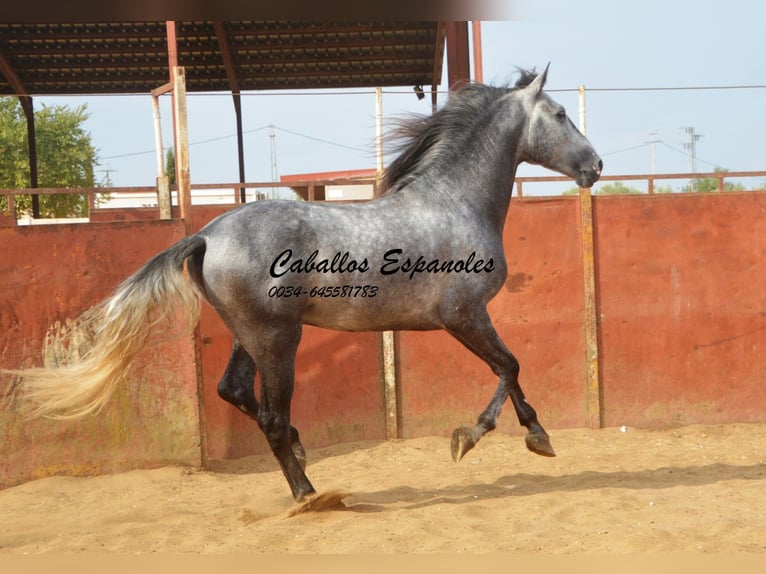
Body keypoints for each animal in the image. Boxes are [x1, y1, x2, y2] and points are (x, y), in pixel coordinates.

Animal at [15, 65, 602, 502]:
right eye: (560, 113)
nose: (596, 165)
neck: (453, 203)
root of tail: (204, 234)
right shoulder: (463, 315)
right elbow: (510, 365)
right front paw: (470, 438)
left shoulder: (469, 319)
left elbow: (510, 370)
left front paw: (539, 436)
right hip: (279, 339)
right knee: (272, 416)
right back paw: (308, 493)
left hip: (249, 334)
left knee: (235, 392)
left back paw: (301, 455)